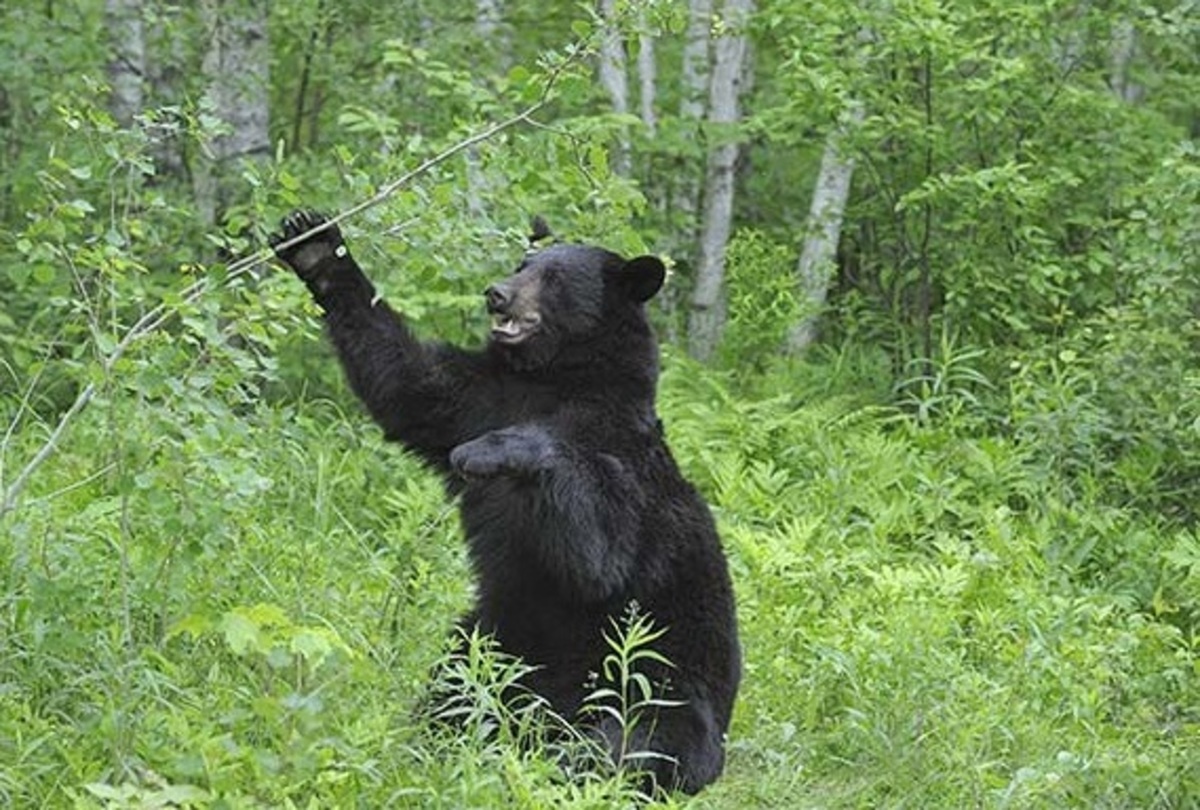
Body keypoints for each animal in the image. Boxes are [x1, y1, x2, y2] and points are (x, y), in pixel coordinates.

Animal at [272, 208, 739, 792]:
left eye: (554, 279)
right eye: (523, 264)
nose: (497, 294)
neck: (552, 380)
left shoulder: (622, 457)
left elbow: (602, 555)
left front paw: (491, 452)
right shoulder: (478, 397)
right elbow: (410, 383)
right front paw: (313, 243)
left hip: (658, 684)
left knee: (640, 738)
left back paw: (566, 759)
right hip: (492, 639)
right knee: (454, 688)